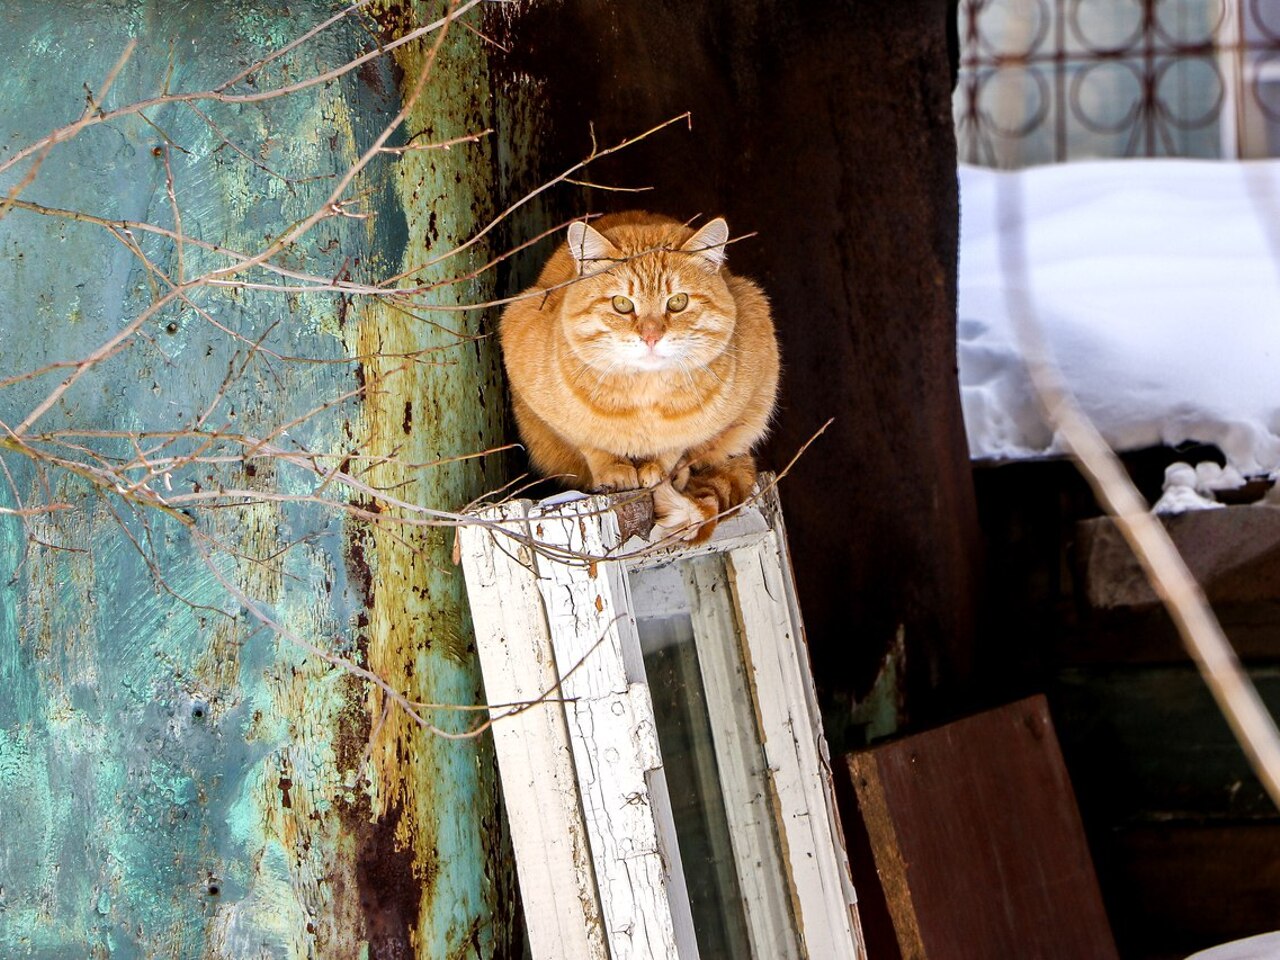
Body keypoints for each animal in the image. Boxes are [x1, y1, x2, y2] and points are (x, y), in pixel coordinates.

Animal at [499, 211, 778, 542]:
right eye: (621, 304)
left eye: (677, 302)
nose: (651, 336)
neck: (644, 397)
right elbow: (591, 443)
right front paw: (612, 469)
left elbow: (677, 446)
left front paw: (660, 468)